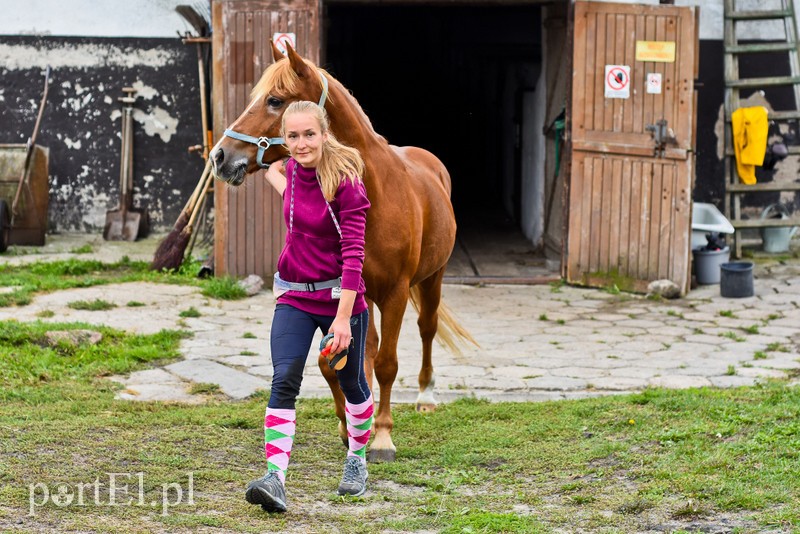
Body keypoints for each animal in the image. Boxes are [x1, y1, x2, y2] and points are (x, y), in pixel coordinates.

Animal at [212, 44, 476, 462]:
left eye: (274, 100)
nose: (220, 157)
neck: (376, 190)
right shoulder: (346, 296)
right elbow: (334, 363)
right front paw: (347, 425)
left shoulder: (396, 294)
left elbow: (386, 364)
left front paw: (382, 436)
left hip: (434, 278)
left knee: (427, 328)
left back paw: (426, 394)